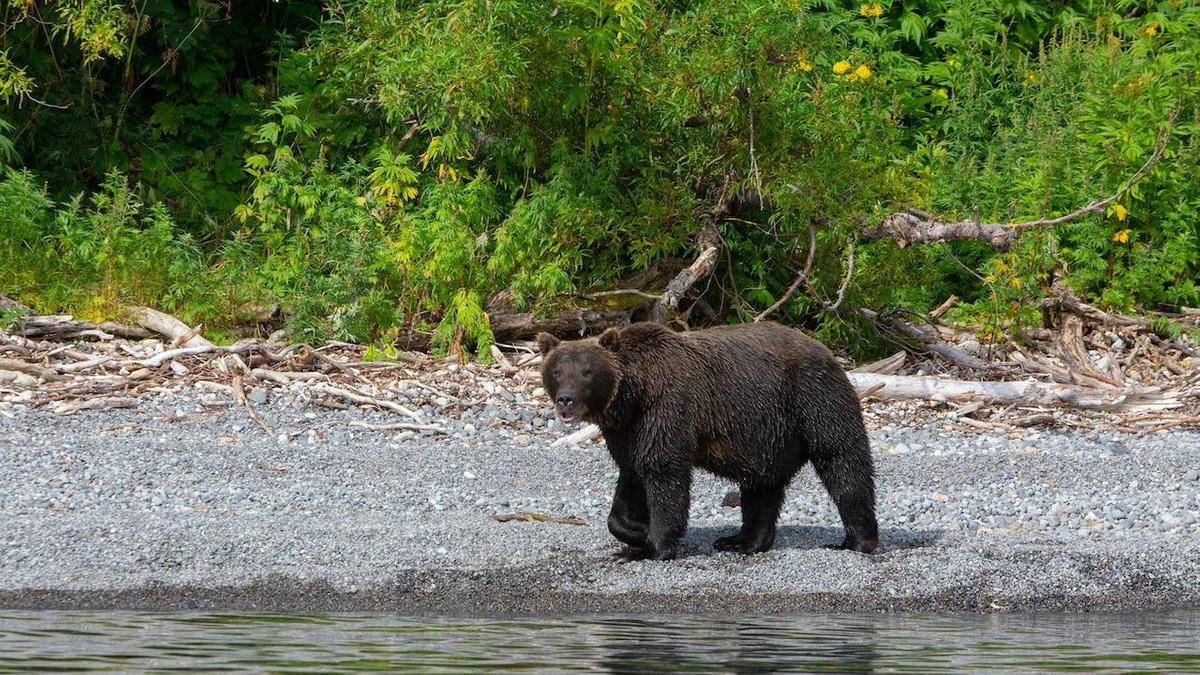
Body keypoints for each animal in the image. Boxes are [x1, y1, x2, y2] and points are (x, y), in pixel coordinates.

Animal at [540, 319, 878, 557]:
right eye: (557, 371)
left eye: (587, 371)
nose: (566, 400)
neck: (633, 395)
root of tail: (827, 351)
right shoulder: (628, 431)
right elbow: (631, 478)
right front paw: (635, 530)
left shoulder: (667, 407)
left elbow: (664, 473)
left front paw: (653, 545)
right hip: (768, 433)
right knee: (762, 484)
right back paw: (742, 541)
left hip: (813, 397)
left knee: (842, 461)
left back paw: (856, 540)